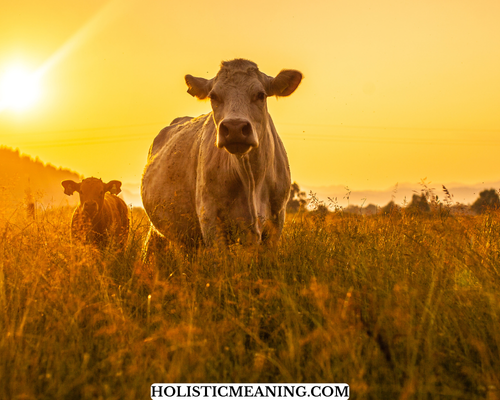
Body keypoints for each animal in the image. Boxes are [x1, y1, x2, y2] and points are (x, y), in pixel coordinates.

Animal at [141, 59, 302, 253]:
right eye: (214, 96)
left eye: (261, 95)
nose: (235, 127)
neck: (251, 179)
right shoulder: (210, 219)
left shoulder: (275, 223)